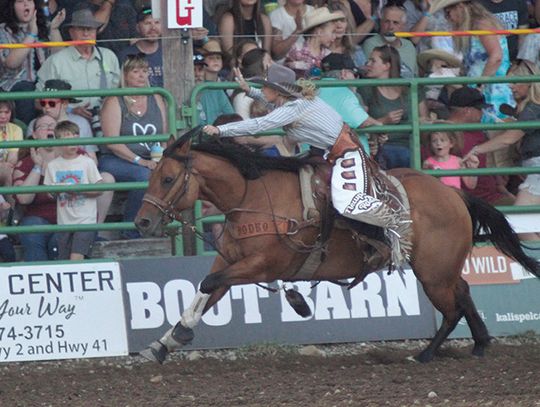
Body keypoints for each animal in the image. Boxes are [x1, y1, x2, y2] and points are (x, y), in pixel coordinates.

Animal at [135, 127, 540, 364]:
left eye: (167, 178)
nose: (142, 221)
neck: (253, 195)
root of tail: (454, 195)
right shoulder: (229, 261)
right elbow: (206, 290)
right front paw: (166, 342)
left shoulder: (262, 264)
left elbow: (208, 285)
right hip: (441, 269)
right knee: (465, 291)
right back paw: (481, 343)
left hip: (433, 274)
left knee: (453, 307)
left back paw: (426, 353)